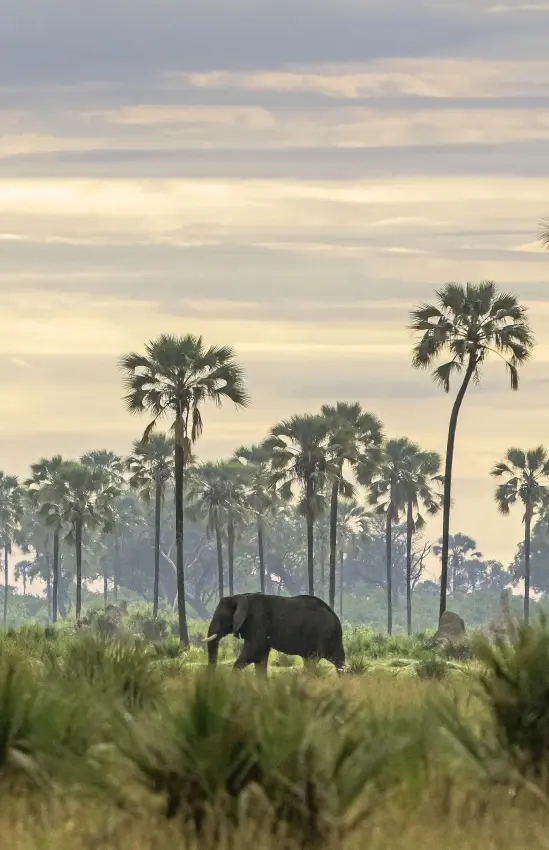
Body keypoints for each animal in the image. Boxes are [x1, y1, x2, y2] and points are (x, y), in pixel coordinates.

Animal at [203, 592, 345, 676]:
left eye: (221, 617)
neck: (240, 596)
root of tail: (335, 618)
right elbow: (260, 658)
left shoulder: (257, 621)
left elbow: (253, 652)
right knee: (336, 661)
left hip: (322, 635)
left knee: (313, 660)